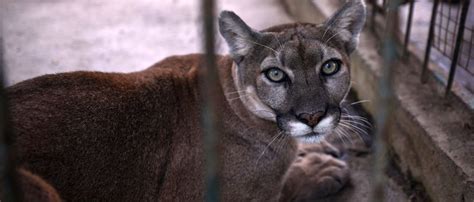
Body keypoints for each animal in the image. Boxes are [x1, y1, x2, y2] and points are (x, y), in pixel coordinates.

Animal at [4, 0, 366, 200]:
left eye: (330, 67)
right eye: (275, 74)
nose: (312, 116)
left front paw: (314, 152)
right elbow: (282, 190)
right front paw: (317, 170)